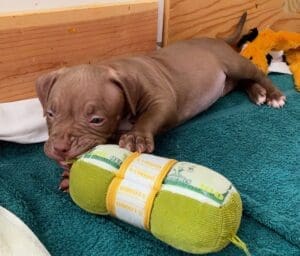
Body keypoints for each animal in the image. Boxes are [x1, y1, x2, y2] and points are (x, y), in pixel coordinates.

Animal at [36, 14, 284, 186]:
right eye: (51, 114)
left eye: (96, 120)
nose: (59, 148)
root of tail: (218, 40)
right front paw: (67, 173)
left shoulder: (161, 99)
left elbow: (150, 117)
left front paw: (136, 137)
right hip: (227, 81)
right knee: (243, 82)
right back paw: (258, 93)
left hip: (233, 63)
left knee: (257, 73)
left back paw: (273, 95)